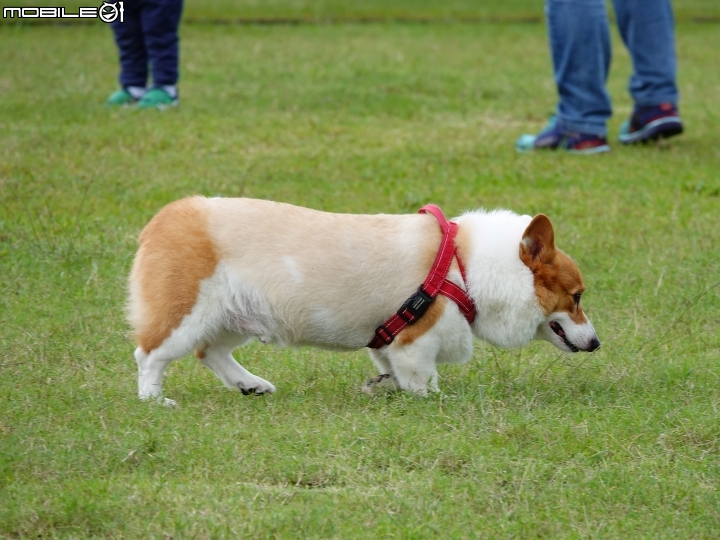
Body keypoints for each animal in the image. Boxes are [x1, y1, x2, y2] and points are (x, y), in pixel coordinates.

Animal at [126, 196, 600, 402]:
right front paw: (431, 400)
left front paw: (382, 387)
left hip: (232, 317)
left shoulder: (389, 344)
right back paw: (154, 400)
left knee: (210, 353)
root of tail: (163, 217)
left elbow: (390, 371)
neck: (463, 266)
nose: (596, 343)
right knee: (149, 355)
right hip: (186, 314)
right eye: (576, 298)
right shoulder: (416, 344)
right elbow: (422, 382)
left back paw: (251, 384)